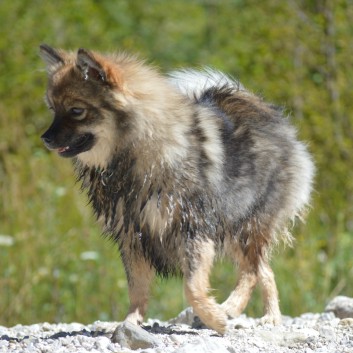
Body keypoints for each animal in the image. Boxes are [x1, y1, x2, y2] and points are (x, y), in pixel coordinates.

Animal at [39, 44, 314, 332]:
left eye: (76, 111)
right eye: (52, 108)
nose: (45, 138)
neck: (132, 156)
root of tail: (266, 113)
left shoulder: (192, 229)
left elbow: (192, 287)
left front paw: (214, 318)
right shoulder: (133, 235)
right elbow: (137, 289)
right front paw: (130, 323)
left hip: (245, 225)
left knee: (251, 271)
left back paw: (237, 309)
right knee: (263, 270)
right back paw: (262, 313)